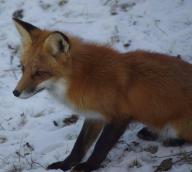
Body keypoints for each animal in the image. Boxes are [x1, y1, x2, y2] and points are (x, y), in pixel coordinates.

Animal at [12, 18, 192, 171]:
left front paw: (88, 167)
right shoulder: (94, 116)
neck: (84, 77)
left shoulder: (119, 116)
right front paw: (65, 164)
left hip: (175, 127)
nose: (15, 92)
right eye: (23, 68)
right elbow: (79, 145)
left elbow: (101, 146)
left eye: (39, 73)